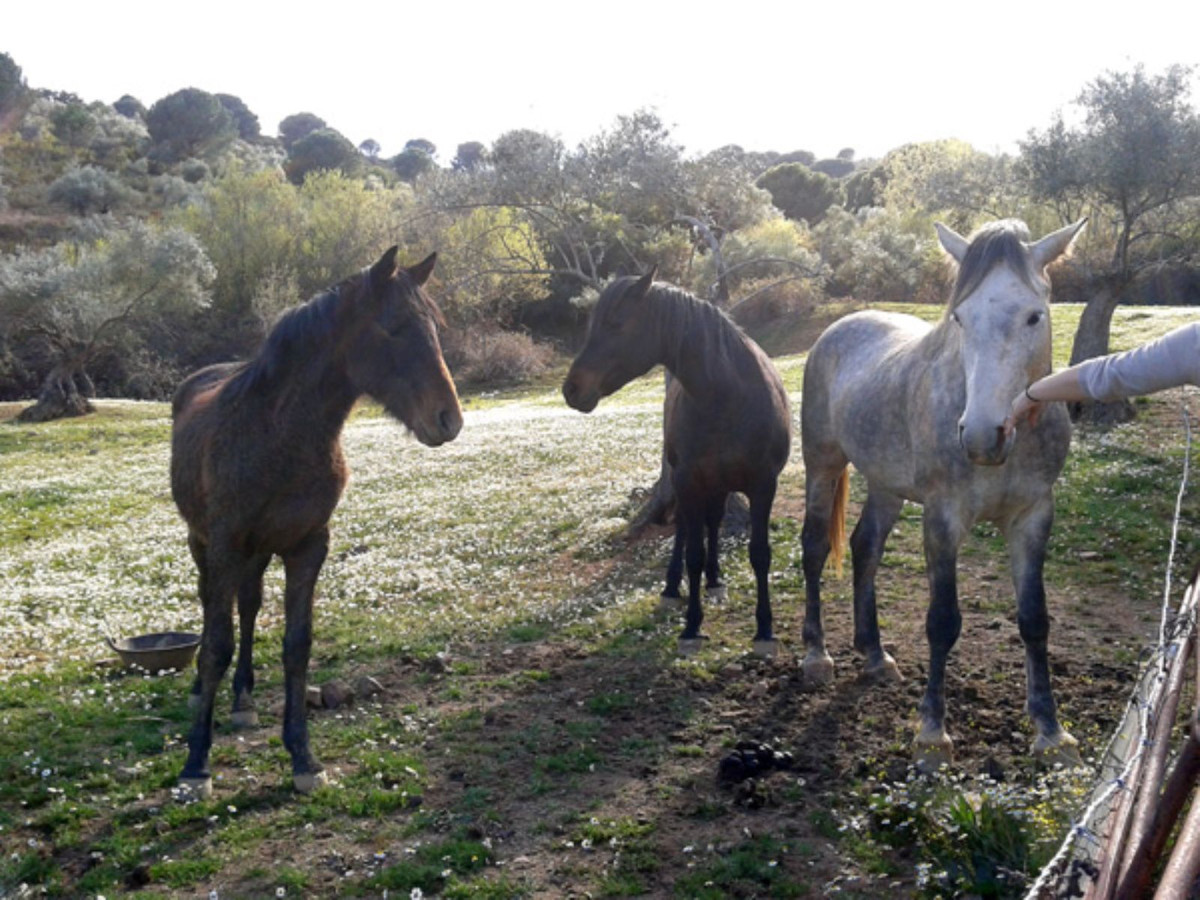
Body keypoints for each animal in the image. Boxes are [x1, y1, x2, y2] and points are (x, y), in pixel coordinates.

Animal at [171, 247, 460, 796]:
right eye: (393, 327)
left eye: (438, 327)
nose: (448, 420)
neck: (276, 433)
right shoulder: (225, 544)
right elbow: (215, 645)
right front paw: (196, 764)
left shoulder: (308, 546)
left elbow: (296, 646)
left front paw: (303, 757)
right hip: (204, 546)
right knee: (213, 608)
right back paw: (204, 694)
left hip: (258, 552)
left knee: (248, 607)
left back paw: (242, 701)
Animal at [564, 273, 792, 657]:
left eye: (616, 324)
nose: (571, 389)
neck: (728, 397)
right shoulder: (689, 481)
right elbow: (693, 553)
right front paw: (691, 627)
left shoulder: (764, 485)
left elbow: (759, 554)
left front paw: (764, 631)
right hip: (692, 483)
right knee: (687, 530)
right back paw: (673, 589)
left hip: (719, 484)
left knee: (712, 523)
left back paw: (715, 582)